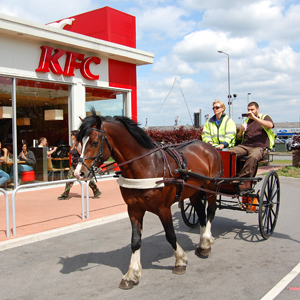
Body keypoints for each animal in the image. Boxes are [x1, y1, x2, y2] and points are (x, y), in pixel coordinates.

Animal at [72, 110, 223, 288]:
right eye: (79, 142)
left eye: (95, 142)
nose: (78, 173)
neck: (146, 166)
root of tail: (207, 146)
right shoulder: (134, 209)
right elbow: (135, 240)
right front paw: (132, 274)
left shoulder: (163, 209)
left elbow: (170, 235)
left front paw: (180, 260)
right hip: (193, 192)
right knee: (200, 212)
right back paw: (202, 243)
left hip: (211, 188)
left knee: (210, 211)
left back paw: (206, 241)